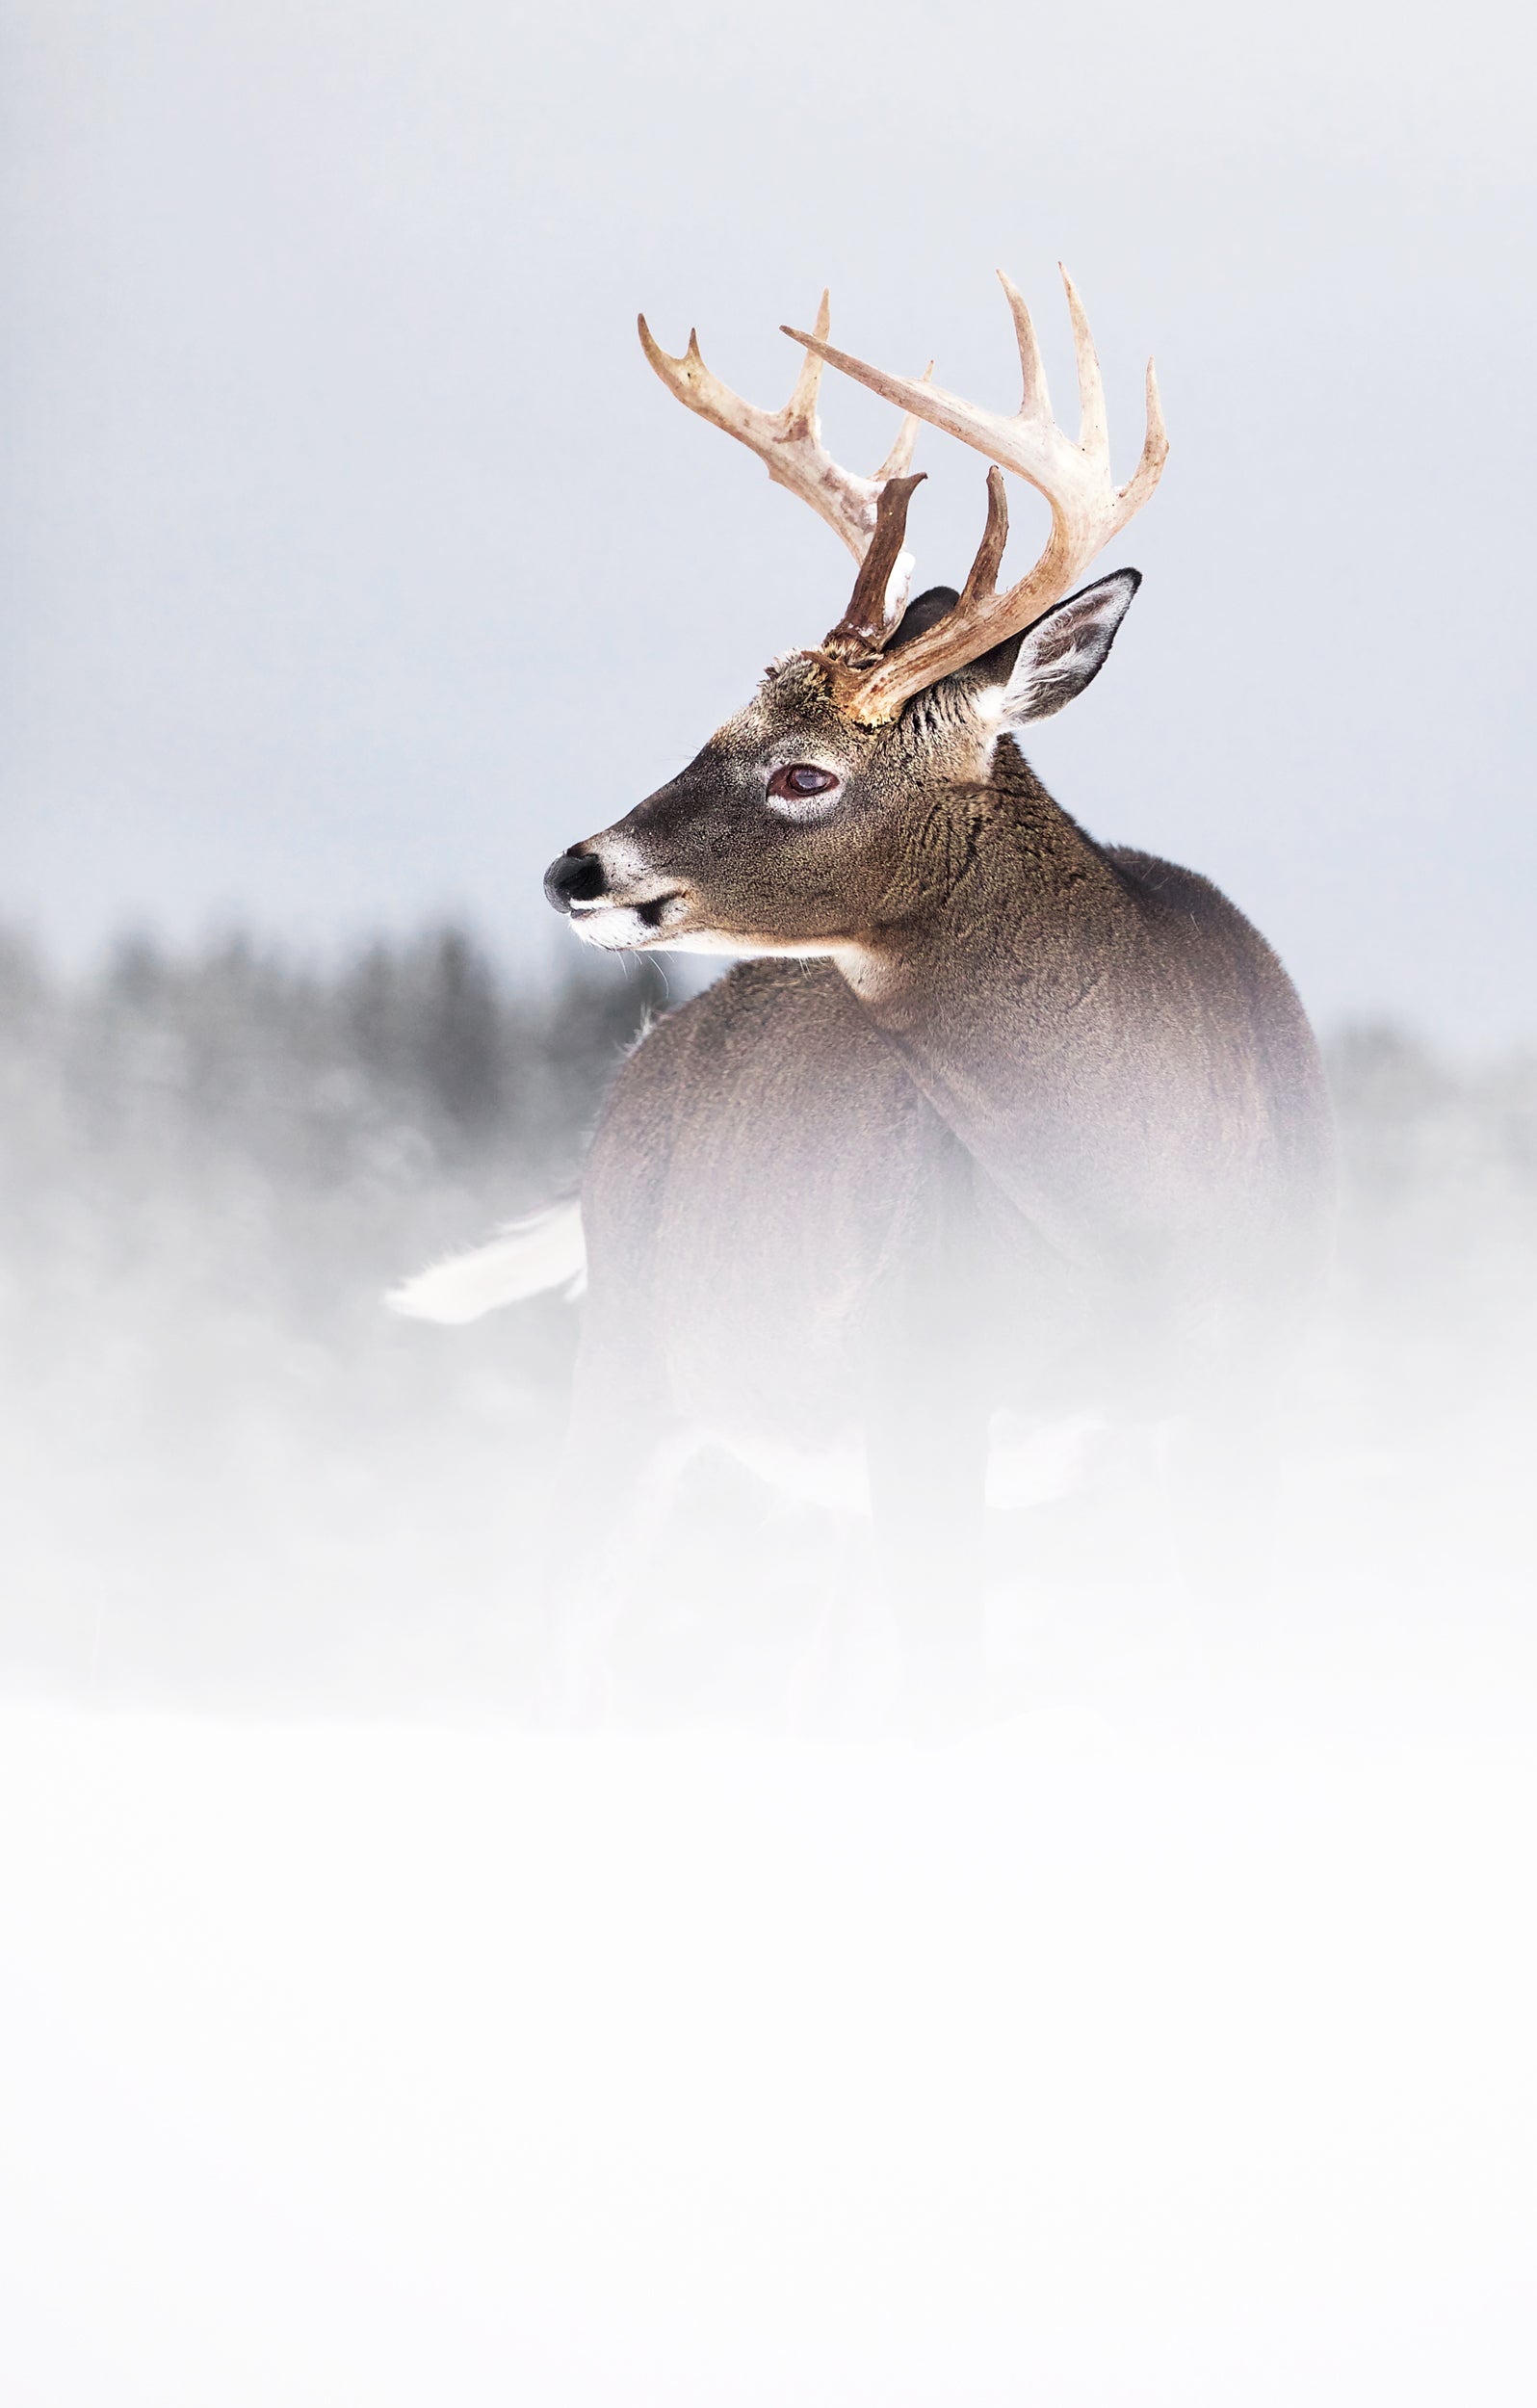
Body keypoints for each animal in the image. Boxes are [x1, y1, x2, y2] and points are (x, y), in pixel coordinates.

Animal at [392, 265, 1335, 1708]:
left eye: (803, 772)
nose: (574, 870)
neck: (1143, 1199)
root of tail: (639, 1069)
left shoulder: (1253, 1402)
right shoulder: (921, 1386)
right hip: (637, 1365)